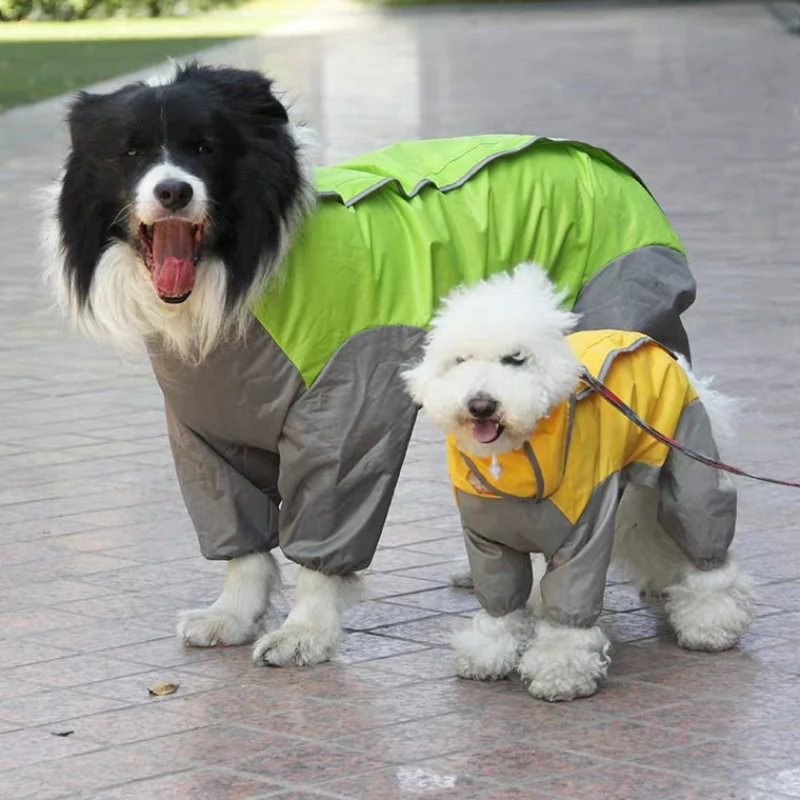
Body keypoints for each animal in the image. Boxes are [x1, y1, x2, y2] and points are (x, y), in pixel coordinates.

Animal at [406, 264, 756, 700]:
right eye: (460, 361)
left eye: (515, 359)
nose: (481, 405)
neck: (517, 458)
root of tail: (661, 350)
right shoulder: (489, 541)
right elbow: (501, 602)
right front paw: (490, 653)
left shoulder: (582, 533)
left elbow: (570, 604)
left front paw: (561, 672)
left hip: (689, 472)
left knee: (708, 549)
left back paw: (711, 624)